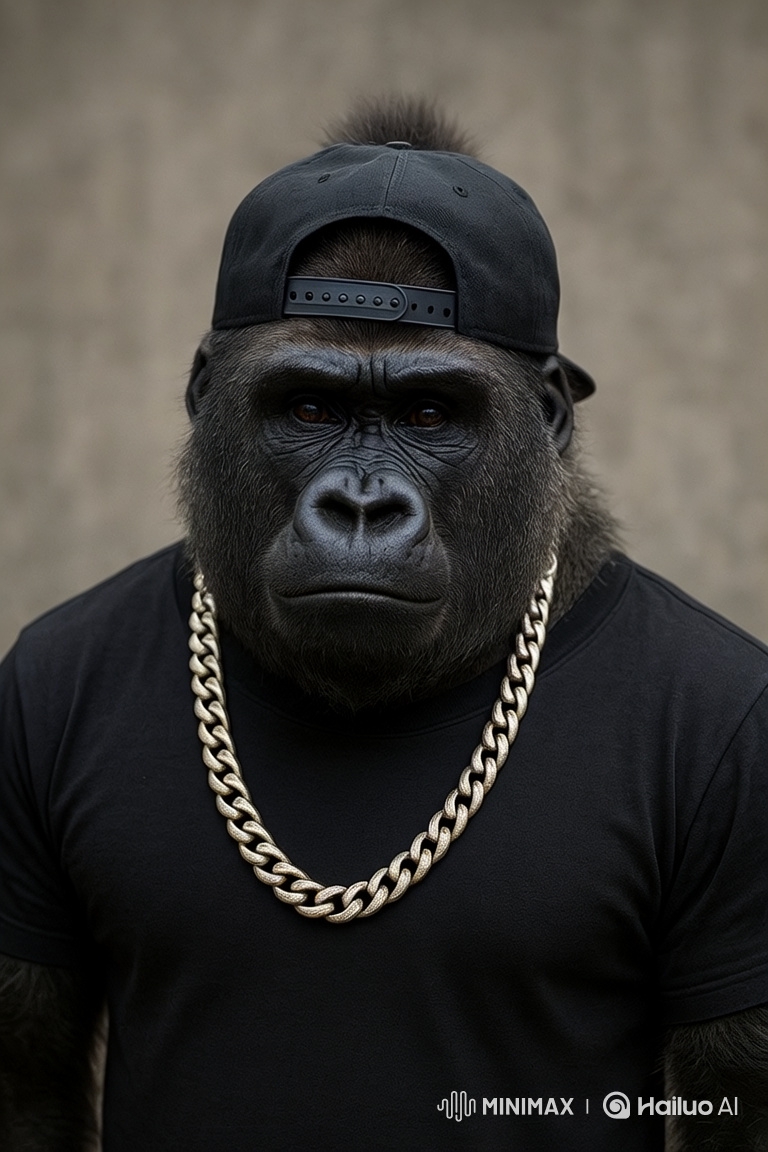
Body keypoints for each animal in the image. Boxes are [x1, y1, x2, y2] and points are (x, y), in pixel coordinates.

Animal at [0, 97, 766, 1151]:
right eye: (310, 407)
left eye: (431, 414)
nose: (363, 509)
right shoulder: (26, 687)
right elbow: (26, 1078)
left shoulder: (748, 741)